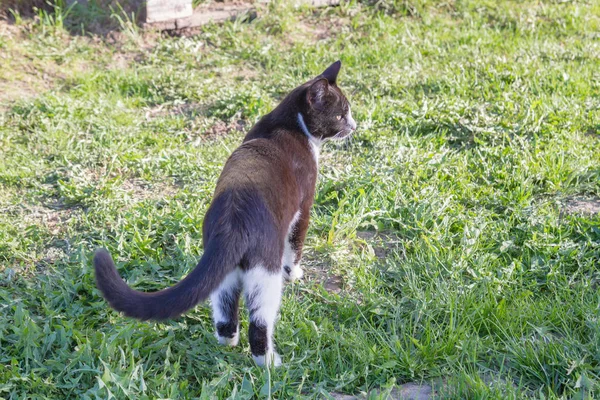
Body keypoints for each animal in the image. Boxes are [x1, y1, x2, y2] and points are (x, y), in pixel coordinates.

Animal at [94, 58, 356, 366]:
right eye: (340, 115)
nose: (354, 126)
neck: (289, 124)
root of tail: (233, 220)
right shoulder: (303, 206)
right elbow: (296, 244)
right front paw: (295, 274)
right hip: (264, 268)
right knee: (259, 319)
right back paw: (268, 362)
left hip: (226, 271)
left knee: (224, 304)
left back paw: (227, 342)